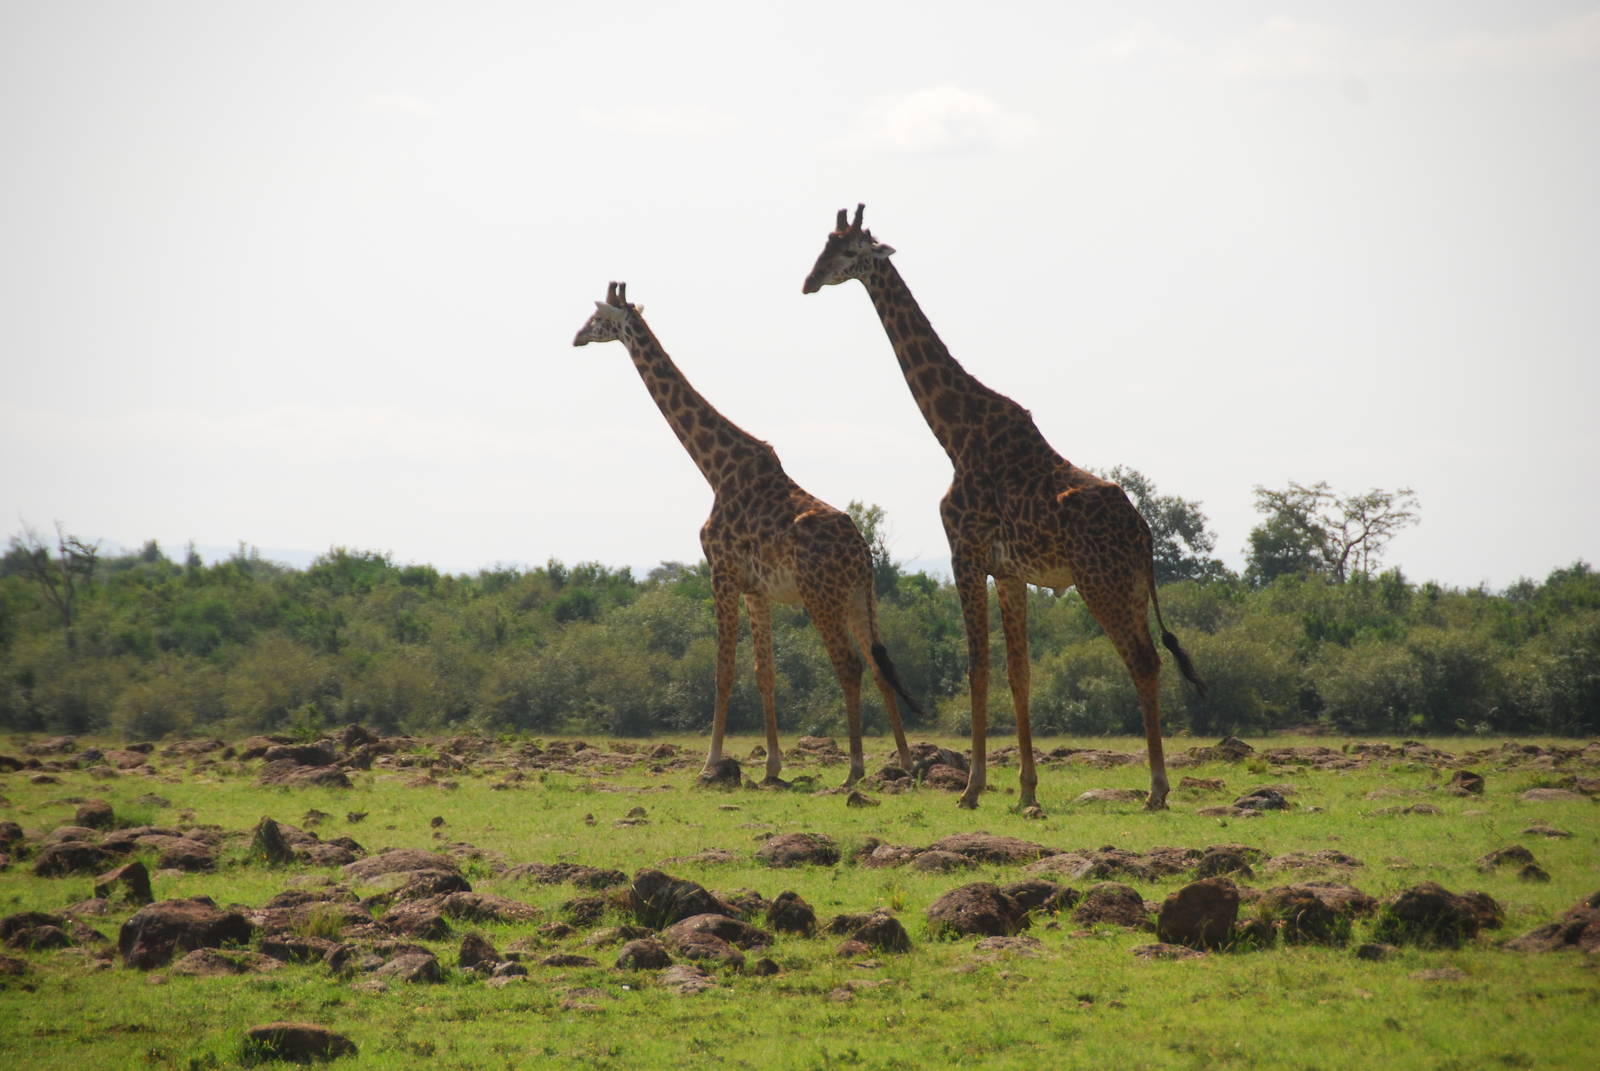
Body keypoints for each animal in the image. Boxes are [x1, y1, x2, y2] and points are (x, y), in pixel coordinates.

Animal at [572, 281, 918, 786]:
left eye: (598, 318)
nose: (576, 337)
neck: (715, 469)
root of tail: (862, 554)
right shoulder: (757, 589)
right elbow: (763, 672)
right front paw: (772, 767)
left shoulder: (722, 573)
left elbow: (723, 670)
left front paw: (710, 764)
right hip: (859, 596)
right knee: (878, 665)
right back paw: (905, 766)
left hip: (820, 595)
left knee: (849, 664)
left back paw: (855, 769)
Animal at [802, 206, 1206, 812]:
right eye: (823, 245)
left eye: (849, 253)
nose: (808, 281)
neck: (955, 434)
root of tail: (1145, 533)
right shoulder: (1010, 572)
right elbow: (1019, 673)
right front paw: (1026, 790)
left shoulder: (965, 555)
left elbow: (977, 669)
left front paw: (971, 789)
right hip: (1131, 584)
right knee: (1151, 660)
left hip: (1101, 582)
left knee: (1141, 660)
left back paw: (1157, 791)